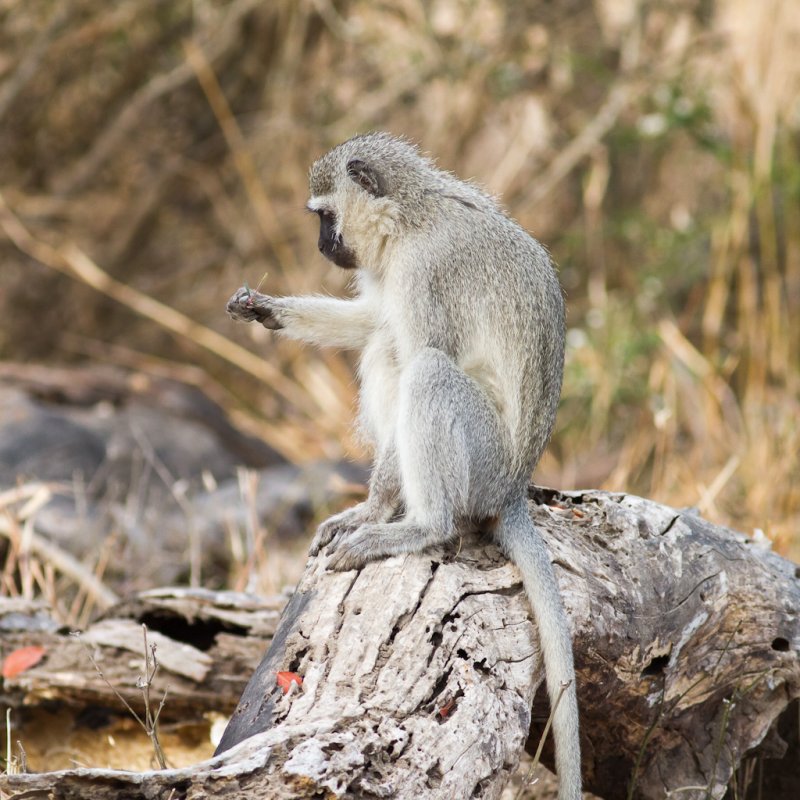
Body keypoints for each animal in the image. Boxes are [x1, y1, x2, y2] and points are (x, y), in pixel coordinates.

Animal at [225, 133, 580, 800]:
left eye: (323, 217)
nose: (322, 246)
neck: (412, 216)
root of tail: (514, 487)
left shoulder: (424, 272)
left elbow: (417, 346)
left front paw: (380, 510)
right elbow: (373, 320)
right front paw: (266, 310)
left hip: (481, 460)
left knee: (425, 369)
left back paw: (415, 523)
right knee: (383, 344)